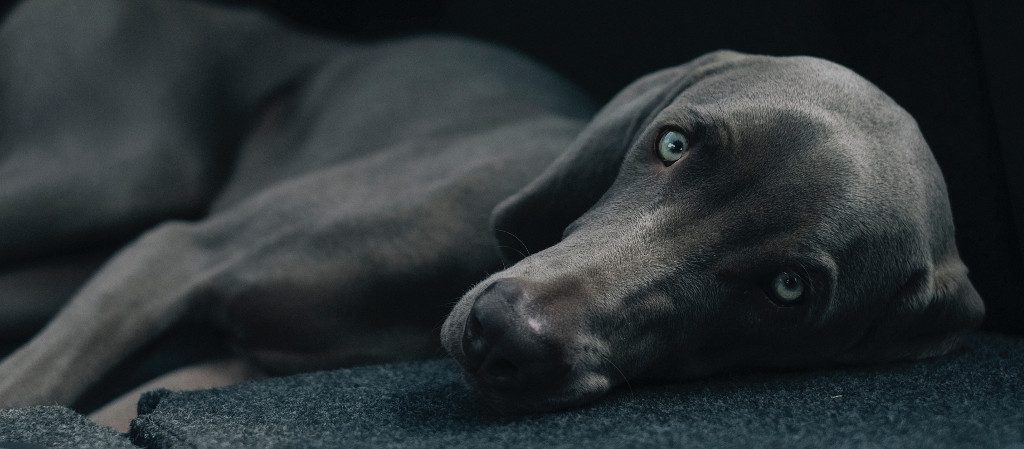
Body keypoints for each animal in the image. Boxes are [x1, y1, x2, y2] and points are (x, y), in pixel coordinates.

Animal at [0, 0, 983, 424]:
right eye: (672, 143)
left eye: (787, 290)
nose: (501, 333)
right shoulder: (175, 253)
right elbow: (28, 386)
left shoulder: (230, 365)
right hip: (103, 171)